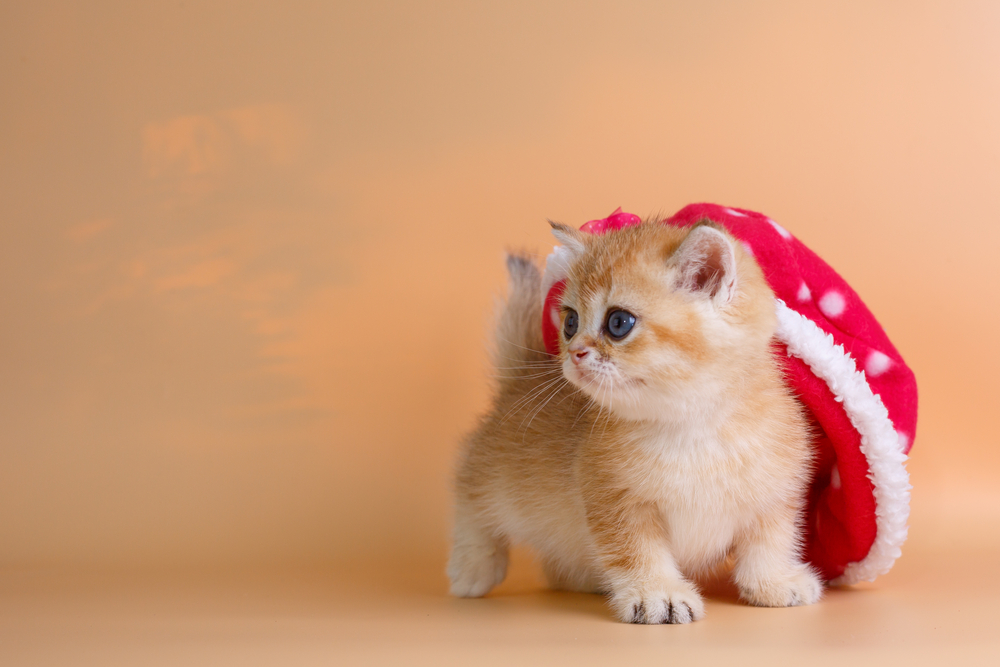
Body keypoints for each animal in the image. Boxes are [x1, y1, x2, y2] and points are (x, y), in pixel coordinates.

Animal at [448, 222, 820, 624]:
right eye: (570, 322)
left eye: (618, 323)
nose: (574, 352)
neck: (692, 427)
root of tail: (520, 376)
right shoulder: (616, 500)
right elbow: (638, 552)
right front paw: (658, 594)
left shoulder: (776, 496)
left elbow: (769, 545)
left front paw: (774, 583)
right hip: (493, 476)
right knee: (470, 503)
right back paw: (473, 567)